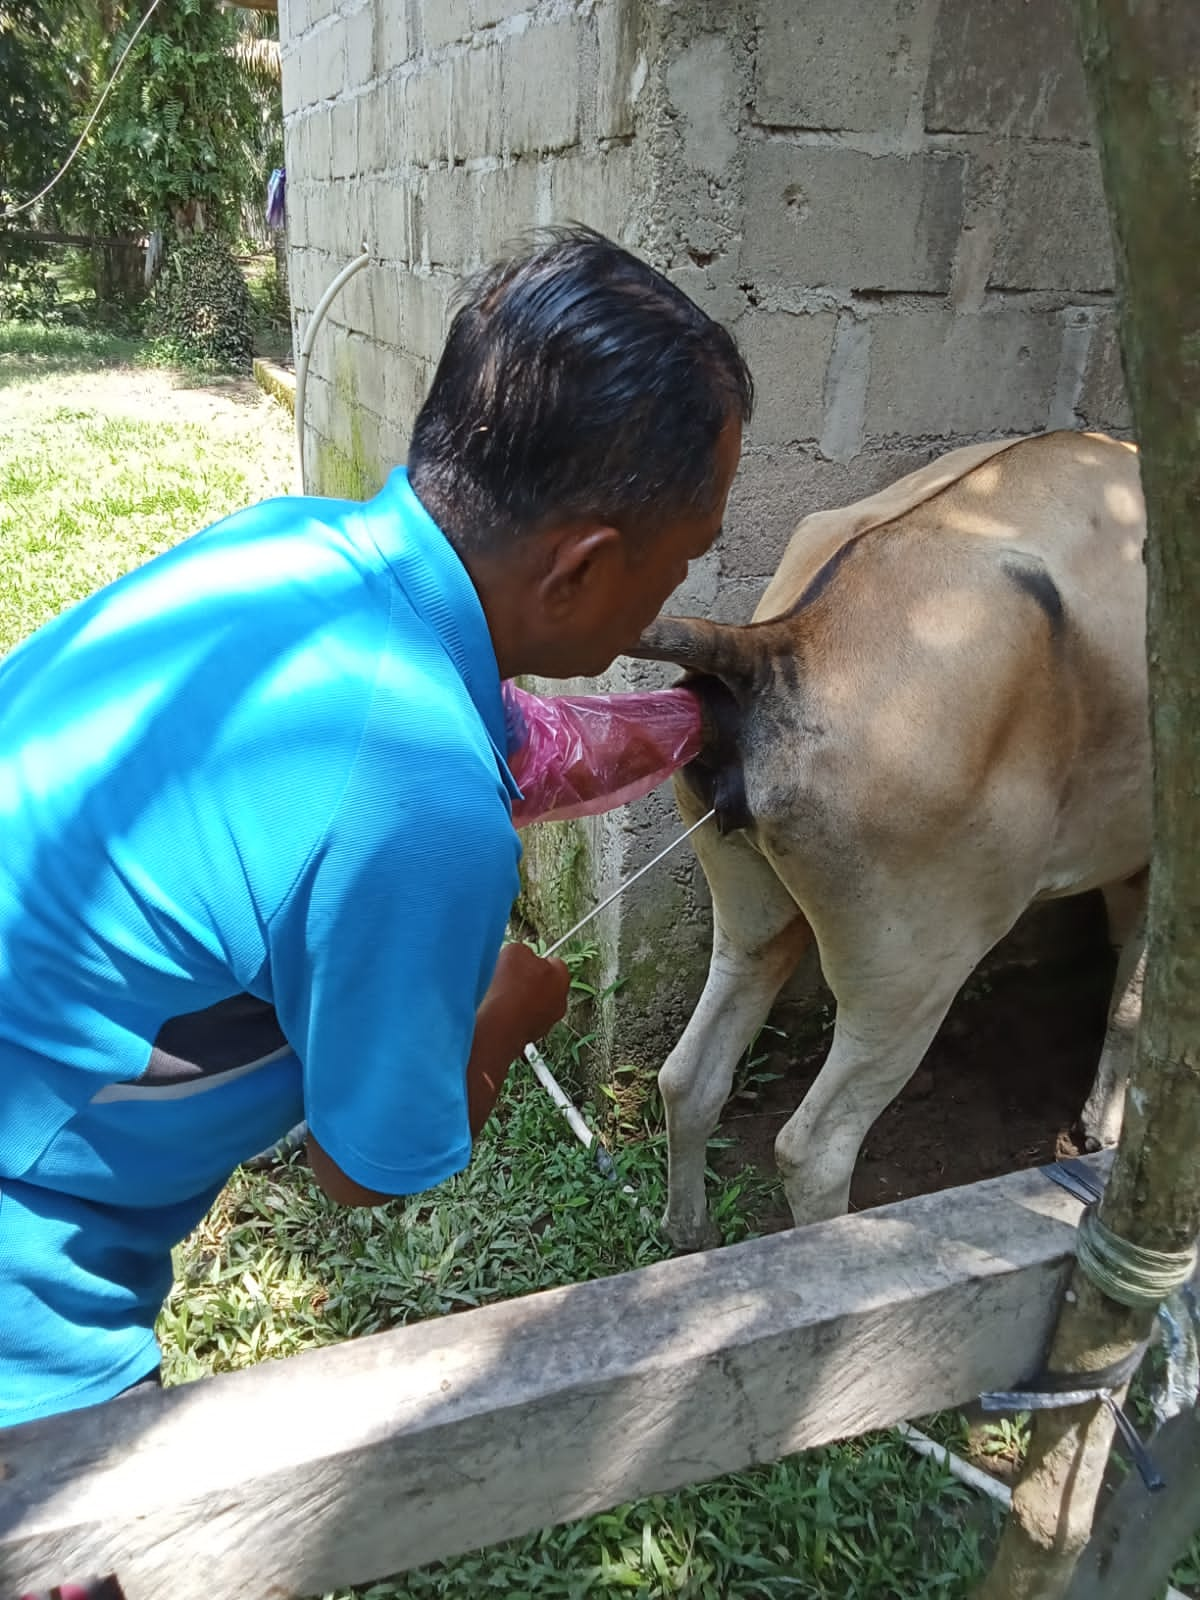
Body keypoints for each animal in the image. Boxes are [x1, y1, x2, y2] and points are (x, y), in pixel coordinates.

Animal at [633, 428, 1152, 1248]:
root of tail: (777, 644)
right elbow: (1133, 999)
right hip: (912, 966)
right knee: (813, 1148)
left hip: (751, 913)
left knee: (689, 1076)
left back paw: (692, 1236)